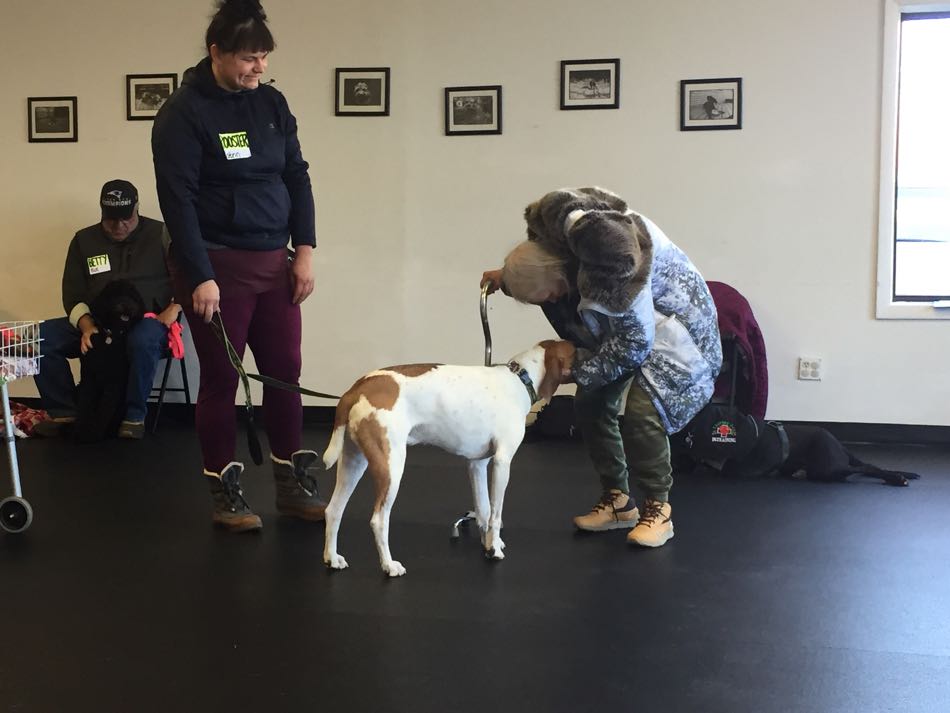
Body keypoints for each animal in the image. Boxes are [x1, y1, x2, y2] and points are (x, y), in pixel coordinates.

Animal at [74, 278, 146, 440]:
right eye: (115, 295)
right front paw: (81, 430)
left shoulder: (114, 381)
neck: (110, 338)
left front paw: (93, 433)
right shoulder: (88, 377)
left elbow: (105, 408)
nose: (127, 304)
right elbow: (84, 404)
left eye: (133, 297)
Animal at [322, 336, 572, 576]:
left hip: (353, 462)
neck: (520, 378)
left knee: (333, 510)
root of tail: (357, 387)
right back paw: (389, 565)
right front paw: (494, 549)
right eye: (577, 352)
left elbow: (484, 510)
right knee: (379, 520)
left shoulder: (477, 464)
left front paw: (488, 543)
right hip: (391, 468)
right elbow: (496, 514)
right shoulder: (502, 462)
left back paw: (332, 558)